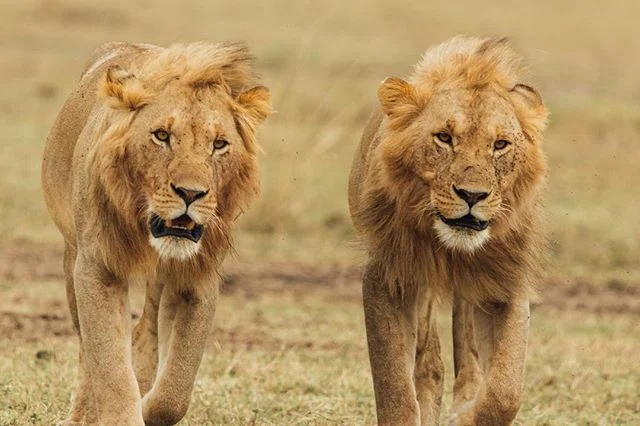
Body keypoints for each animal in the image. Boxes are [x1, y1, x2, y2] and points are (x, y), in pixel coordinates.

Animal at [42, 41, 271, 425]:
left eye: (219, 144)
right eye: (162, 136)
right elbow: (110, 366)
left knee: (145, 331)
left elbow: (175, 390)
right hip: (72, 254)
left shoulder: (196, 278)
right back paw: (83, 411)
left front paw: (148, 405)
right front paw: (118, 410)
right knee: (86, 347)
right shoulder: (96, 268)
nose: (191, 193)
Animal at [348, 36, 548, 425]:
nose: (472, 195)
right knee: (428, 363)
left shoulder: (505, 281)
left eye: (500, 144)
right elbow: (394, 383)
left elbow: (504, 391)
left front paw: (466, 416)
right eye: (444, 137)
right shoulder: (388, 277)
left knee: (468, 361)